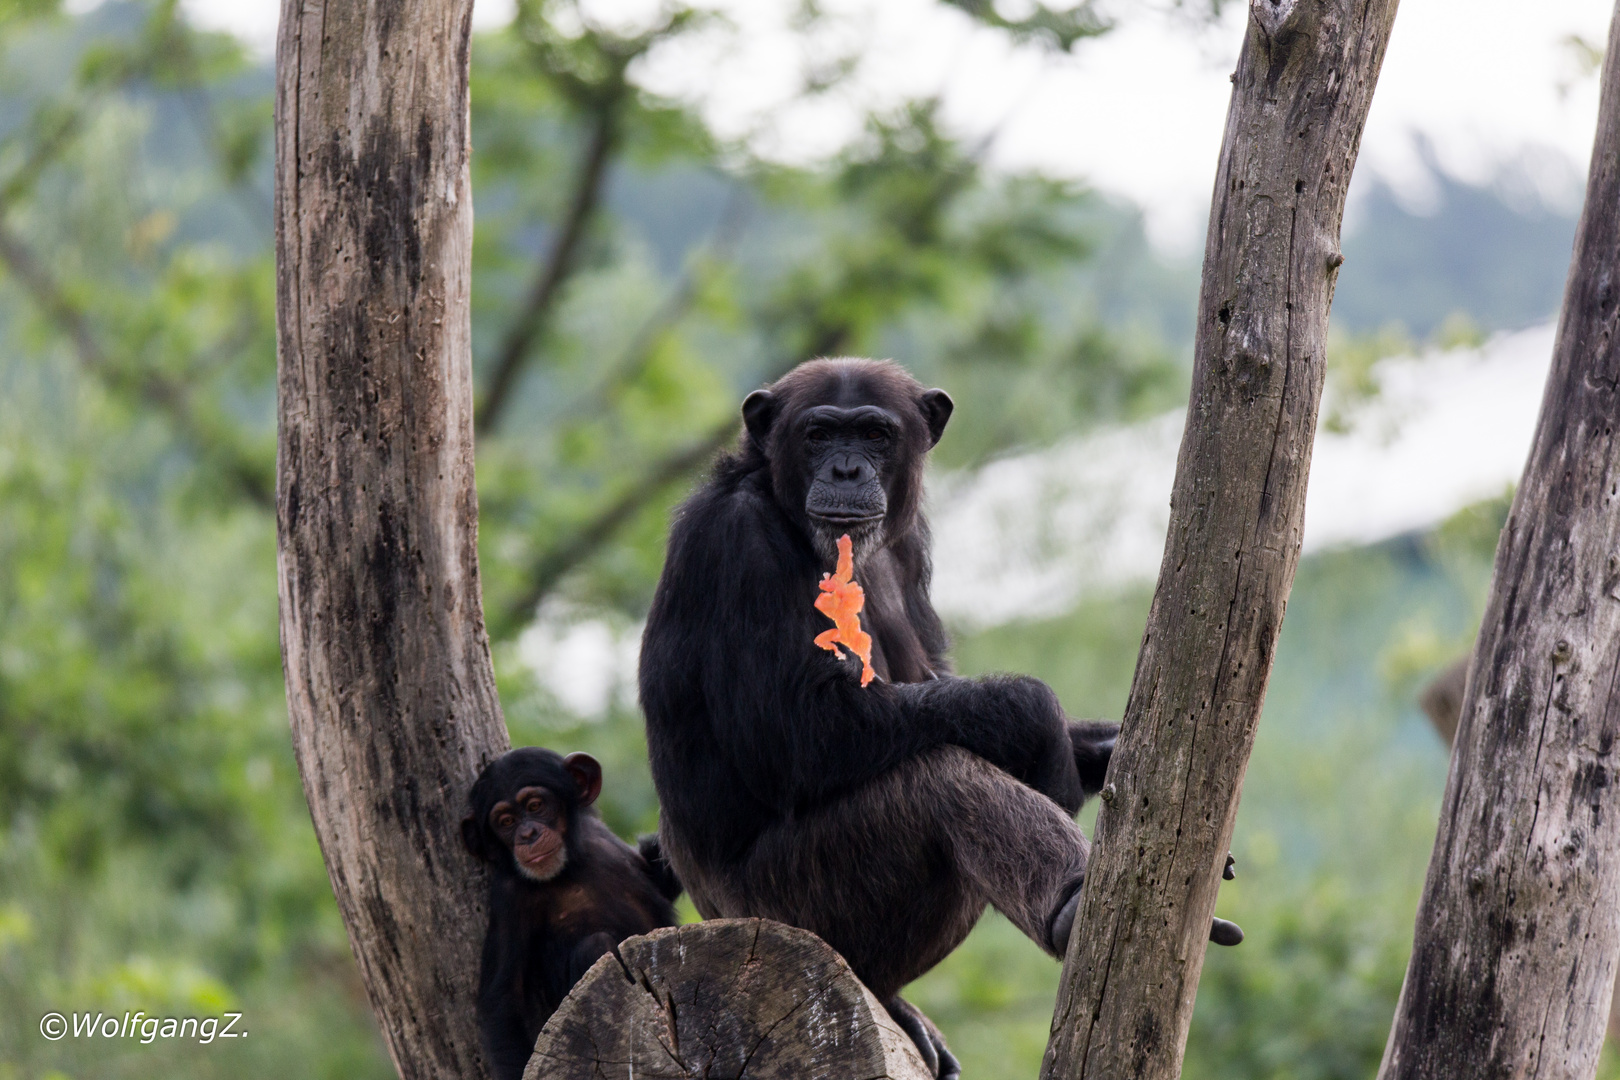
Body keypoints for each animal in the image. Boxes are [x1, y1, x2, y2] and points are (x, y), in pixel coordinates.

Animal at [460, 751, 680, 1080]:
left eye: (535, 806)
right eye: (506, 822)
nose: (527, 834)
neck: (569, 866)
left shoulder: (604, 837)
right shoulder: (508, 897)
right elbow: (503, 997)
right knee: (597, 944)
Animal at [638, 359, 1231, 1075]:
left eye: (874, 433)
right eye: (818, 434)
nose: (845, 469)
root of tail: (710, 922)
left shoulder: (912, 546)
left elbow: (934, 682)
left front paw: (1104, 750)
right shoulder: (737, 544)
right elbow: (795, 733)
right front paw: (1039, 723)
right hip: (792, 907)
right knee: (941, 781)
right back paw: (1073, 906)